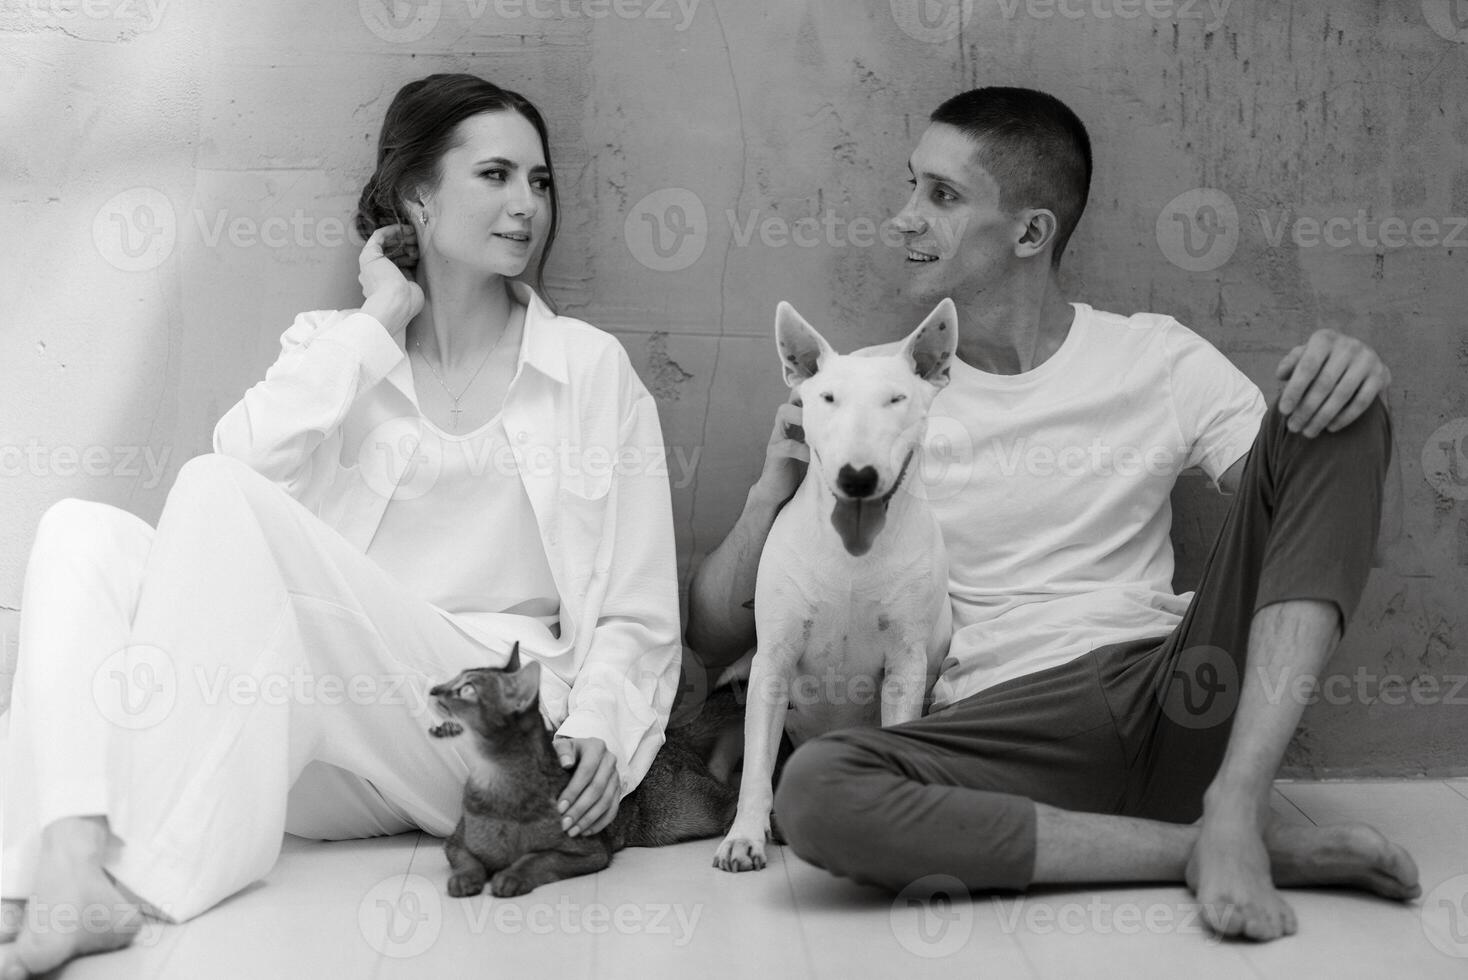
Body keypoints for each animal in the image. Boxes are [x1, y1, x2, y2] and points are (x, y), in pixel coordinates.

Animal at [428, 642, 739, 897]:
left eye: (466, 689)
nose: (432, 689)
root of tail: (673, 735)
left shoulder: (588, 852)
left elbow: (538, 859)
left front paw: (511, 876)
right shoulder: (456, 844)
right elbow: (468, 862)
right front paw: (465, 878)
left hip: (678, 813)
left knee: (731, 796)